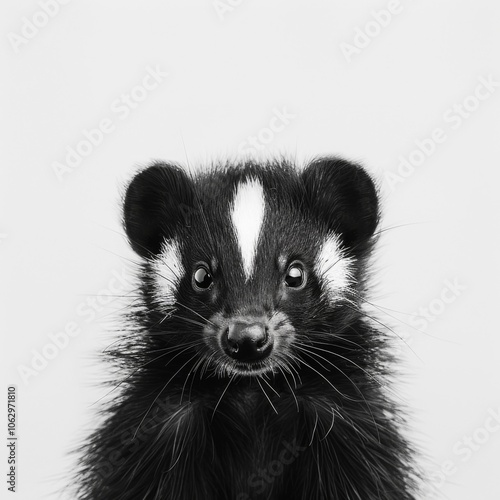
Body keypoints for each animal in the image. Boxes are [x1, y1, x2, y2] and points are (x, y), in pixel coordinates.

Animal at [74, 157, 418, 500]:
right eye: (201, 275)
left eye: (296, 273)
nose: (248, 338)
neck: (252, 390)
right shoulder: (156, 431)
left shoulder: (348, 431)